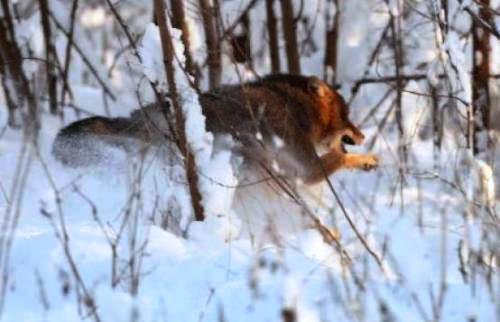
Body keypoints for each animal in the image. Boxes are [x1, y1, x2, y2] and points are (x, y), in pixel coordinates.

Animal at [52, 74, 376, 182]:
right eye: (347, 114)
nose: (363, 135)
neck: (297, 110)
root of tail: (140, 115)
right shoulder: (307, 169)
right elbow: (342, 157)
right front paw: (369, 159)